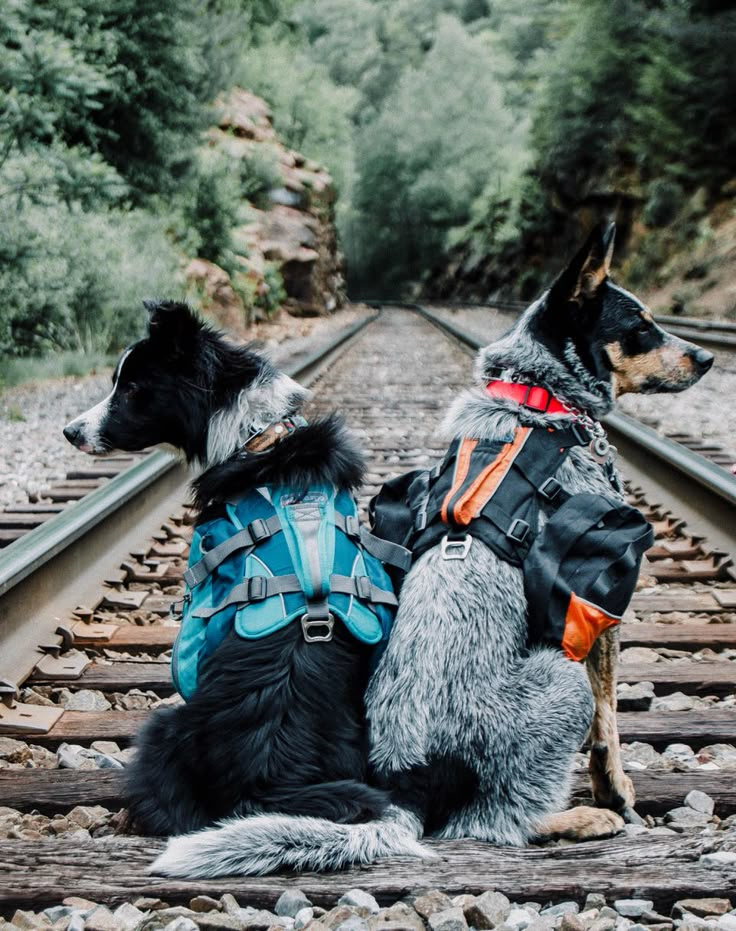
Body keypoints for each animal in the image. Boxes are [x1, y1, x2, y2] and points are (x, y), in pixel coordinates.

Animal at [147, 222, 716, 876]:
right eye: (641, 324)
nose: (708, 357)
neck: (539, 400)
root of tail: (411, 791)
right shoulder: (600, 605)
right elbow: (609, 722)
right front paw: (615, 793)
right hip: (560, 678)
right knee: (497, 822)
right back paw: (578, 818)